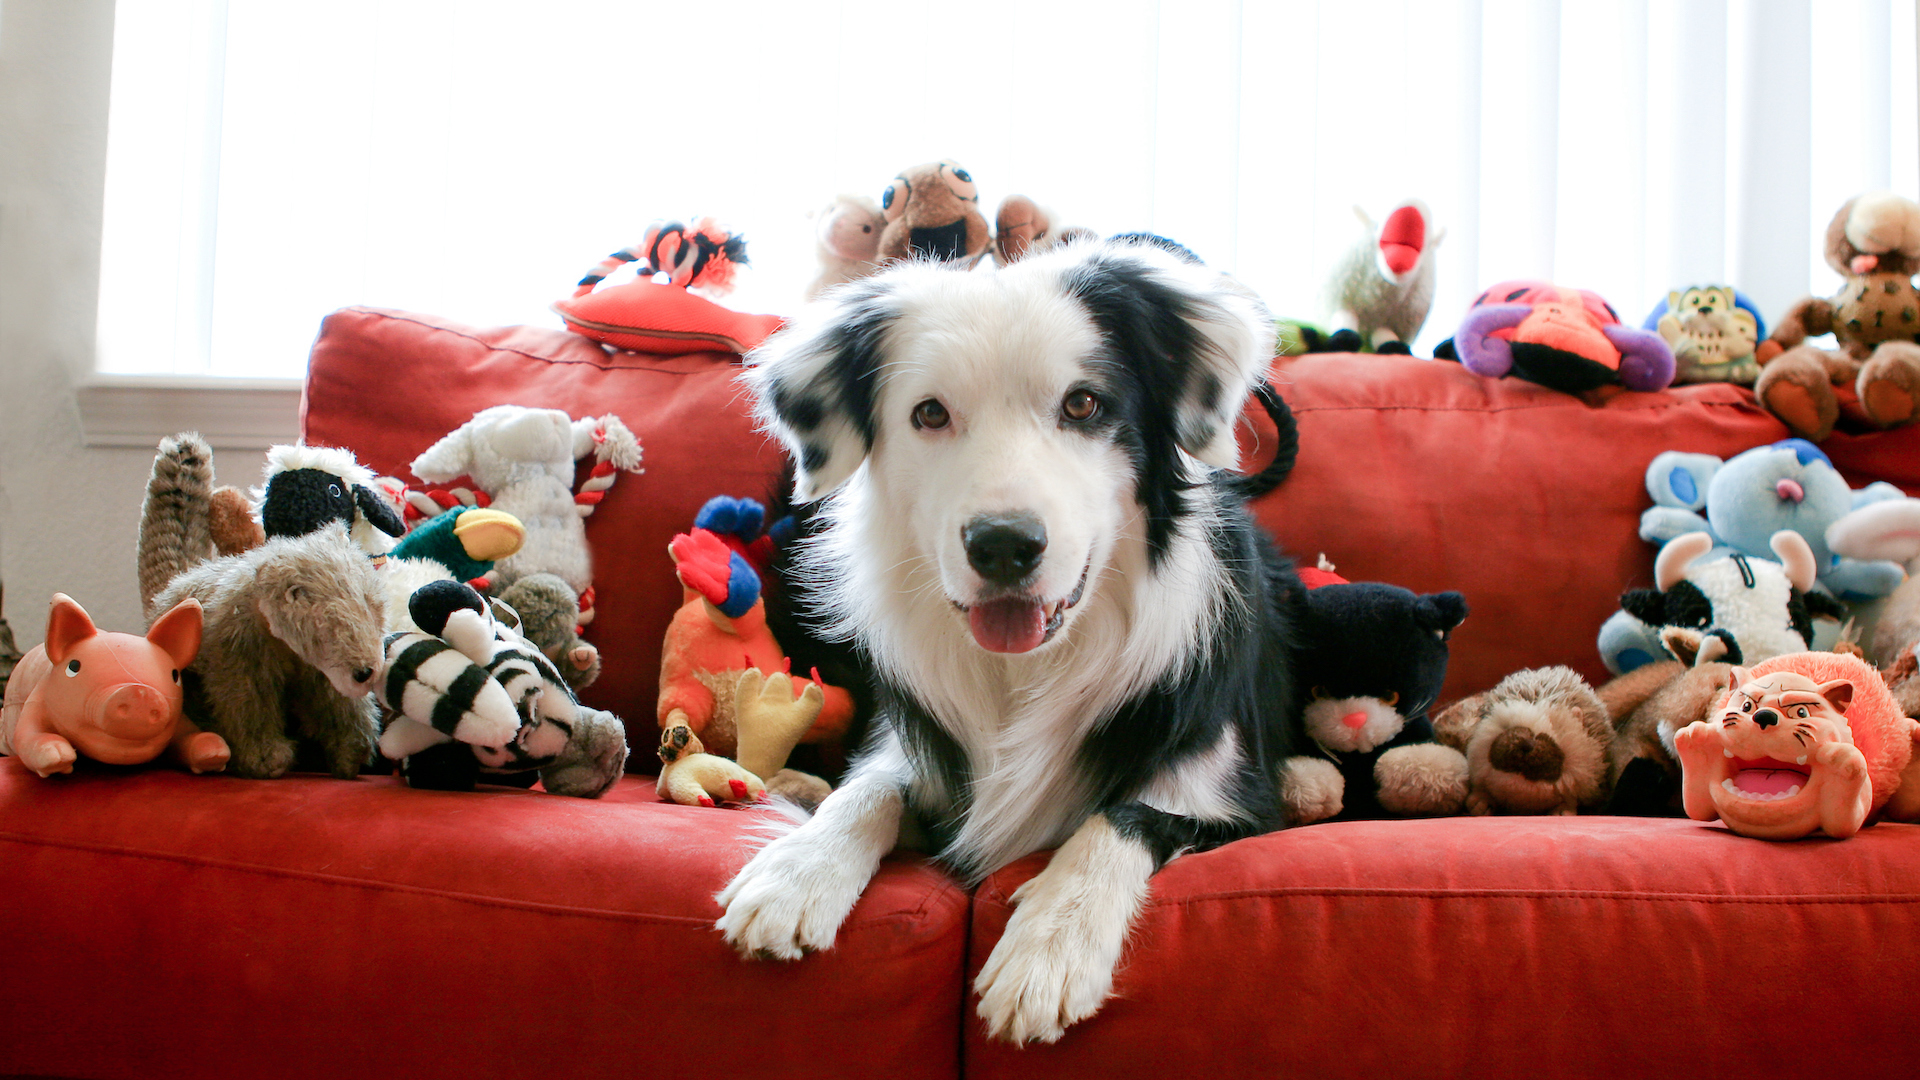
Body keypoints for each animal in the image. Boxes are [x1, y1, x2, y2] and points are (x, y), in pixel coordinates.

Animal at [714, 237, 1313, 1045]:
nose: (1003, 546)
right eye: (930, 413)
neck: (1028, 669)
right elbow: (869, 787)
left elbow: (1120, 818)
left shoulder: (1234, 800)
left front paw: (1048, 947)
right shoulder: (915, 743)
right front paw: (796, 872)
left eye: (1084, 404)